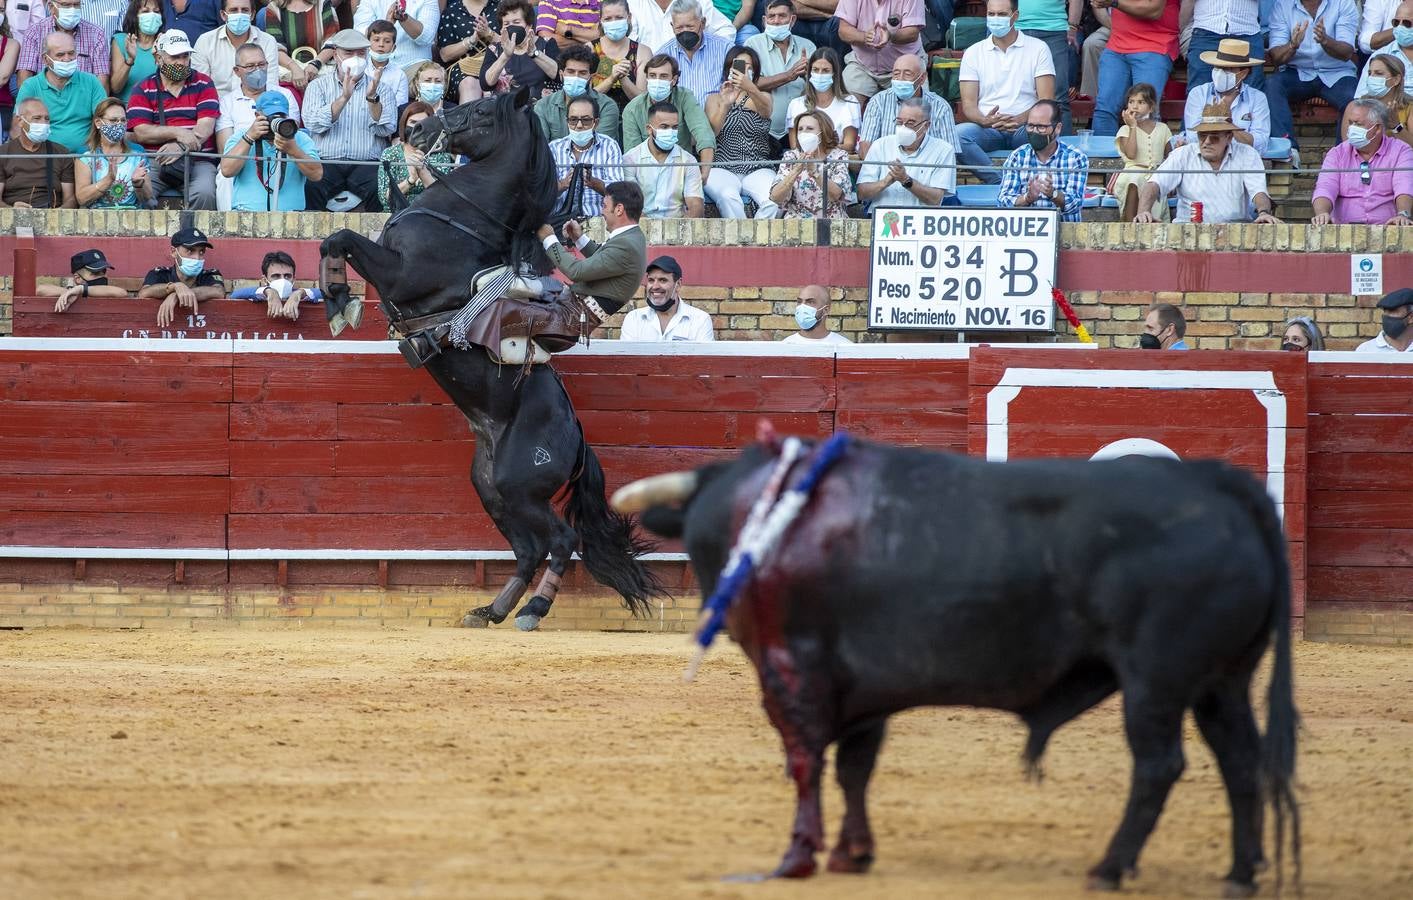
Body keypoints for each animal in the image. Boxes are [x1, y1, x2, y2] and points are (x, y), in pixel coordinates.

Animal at [323, 87, 664, 627]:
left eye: (482, 110)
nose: (417, 128)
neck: (462, 218)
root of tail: (577, 440)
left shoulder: (400, 275)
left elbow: (338, 239)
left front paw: (340, 301)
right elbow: (333, 242)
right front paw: (338, 299)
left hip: (518, 485)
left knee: (562, 539)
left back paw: (533, 610)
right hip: (491, 488)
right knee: (529, 548)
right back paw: (492, 609)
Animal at [613, 440, 1294, 892]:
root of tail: (1218, 487)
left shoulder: (792, 671)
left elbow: (807, 762)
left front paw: (796, 858)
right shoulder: (863, 686)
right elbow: (855, 767)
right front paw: (852, 854)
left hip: (1155, 682)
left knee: (1159, 765)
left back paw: (1109, 868)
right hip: (1221, 683)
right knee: (1240, 760)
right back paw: (1239, 873)